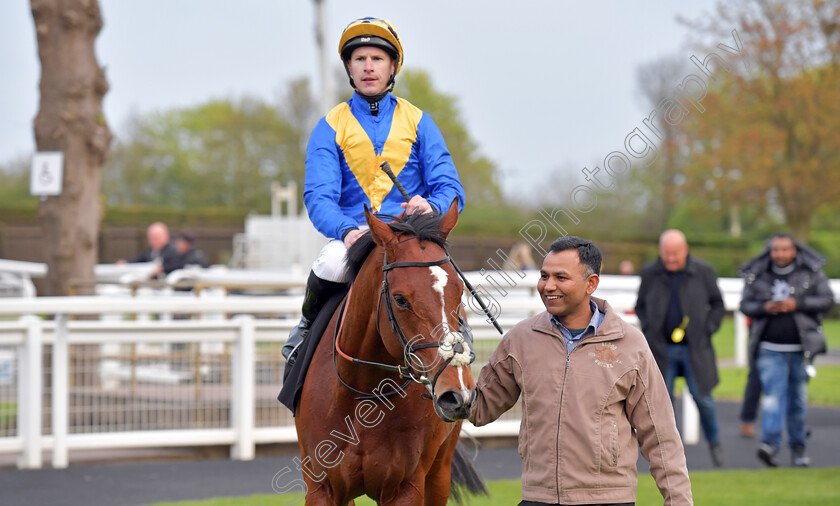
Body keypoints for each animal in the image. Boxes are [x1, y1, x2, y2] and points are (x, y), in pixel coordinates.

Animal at [294, 200, 482, 504]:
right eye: (400, 299)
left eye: (459, 292)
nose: (458, 393)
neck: (363, 394)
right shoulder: (322, 487)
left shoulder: (407, 486)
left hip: (440, 472)